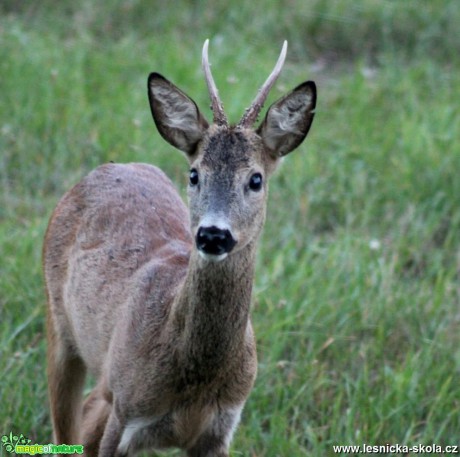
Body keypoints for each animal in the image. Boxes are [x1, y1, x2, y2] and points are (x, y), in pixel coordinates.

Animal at [43, 40, 316, 456]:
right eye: (194, 174)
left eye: (255, 179)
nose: (213, 235)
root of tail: (109, 168)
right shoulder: (125, 413)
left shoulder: (219, 430)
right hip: (59, 323)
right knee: (66, 427)